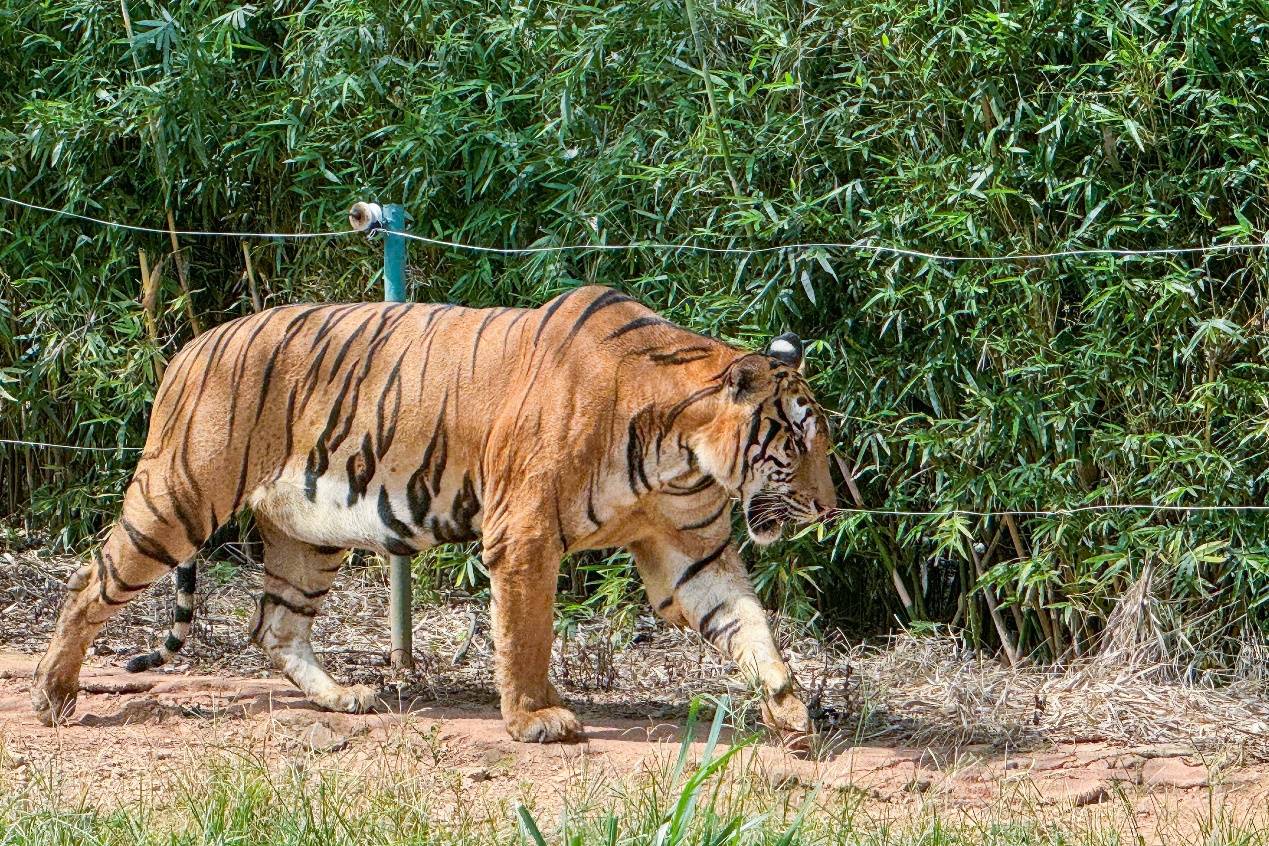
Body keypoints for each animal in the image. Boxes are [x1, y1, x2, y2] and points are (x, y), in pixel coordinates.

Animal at [32, 284, 832, 740]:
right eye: (797, 441)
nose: (831, 508)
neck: (680, 452)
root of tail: (188, 348)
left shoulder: (689, 553)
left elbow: (747, 624)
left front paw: (791, 708)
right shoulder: (523, 535)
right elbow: (525, 635)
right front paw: (535, 718)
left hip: (309, 531)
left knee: (275, 627)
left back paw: (344, 697)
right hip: (180, 498)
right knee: (88, 580)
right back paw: (54, 694)